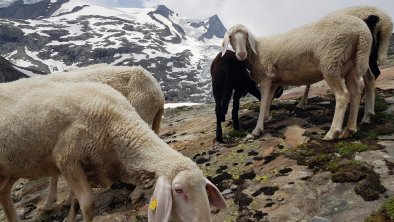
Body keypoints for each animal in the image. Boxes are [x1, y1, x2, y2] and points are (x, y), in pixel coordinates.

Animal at [0, 79, 226, 222]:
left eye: (204, 189)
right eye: (178, 190)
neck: (116, 123)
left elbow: (75, 202)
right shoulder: (67, 159)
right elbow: (88, 206)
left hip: (9, 170)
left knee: (5, 197)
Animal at [223, 13, 374, 140]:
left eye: (246, 36)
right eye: (231, 37)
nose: (241, 54)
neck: (256, 50)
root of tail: (361, 31)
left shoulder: (265, 78)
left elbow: (263, 103)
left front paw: (257, 130)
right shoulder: (273, 81)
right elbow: (268, 101)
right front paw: (265, 118)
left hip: (331, 62)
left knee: (343, 95)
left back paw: (333, 132)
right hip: (350, 66)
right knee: (356, 93)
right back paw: (350, 129)